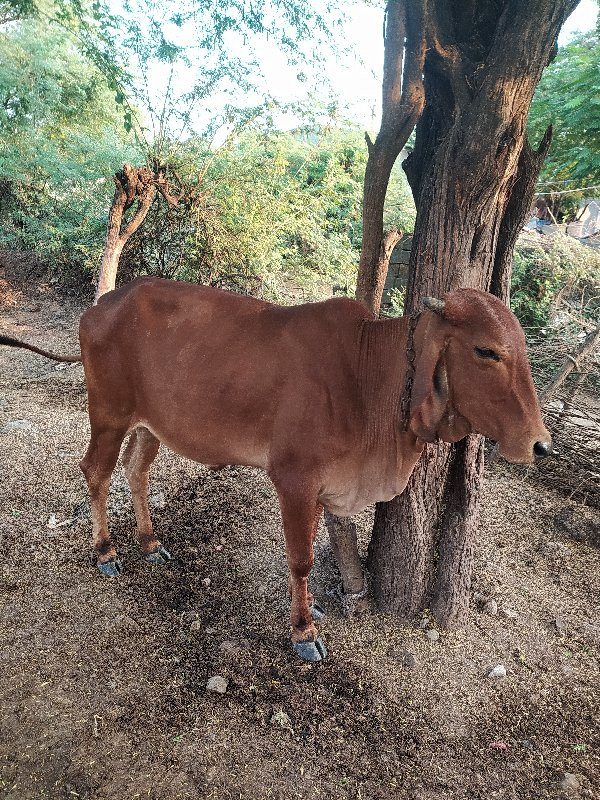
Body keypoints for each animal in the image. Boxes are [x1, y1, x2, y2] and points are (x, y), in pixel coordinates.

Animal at [1, 282, 552, 664]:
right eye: (486, 351)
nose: (541, 444)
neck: (367, 376)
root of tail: (101, 305)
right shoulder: (295, 481)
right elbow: (301, 562)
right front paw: (304, 632)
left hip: (149, 424)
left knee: (136, 472)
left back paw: (150, 541)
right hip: (109, 415)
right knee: (95, 471)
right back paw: (105, 551)